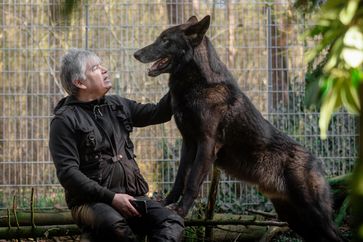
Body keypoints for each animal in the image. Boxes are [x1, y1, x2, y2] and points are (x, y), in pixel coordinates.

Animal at [134, 15, 344, 242]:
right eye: (159, 38)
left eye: (165, 40)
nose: (136, 54)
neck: (198, 87)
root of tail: (317, 161)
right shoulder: (188, 144)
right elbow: (180, 178)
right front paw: (167, 203)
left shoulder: (206, 144)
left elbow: (192, 182)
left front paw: (180, 211)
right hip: (296, 220)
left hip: (315, 217)